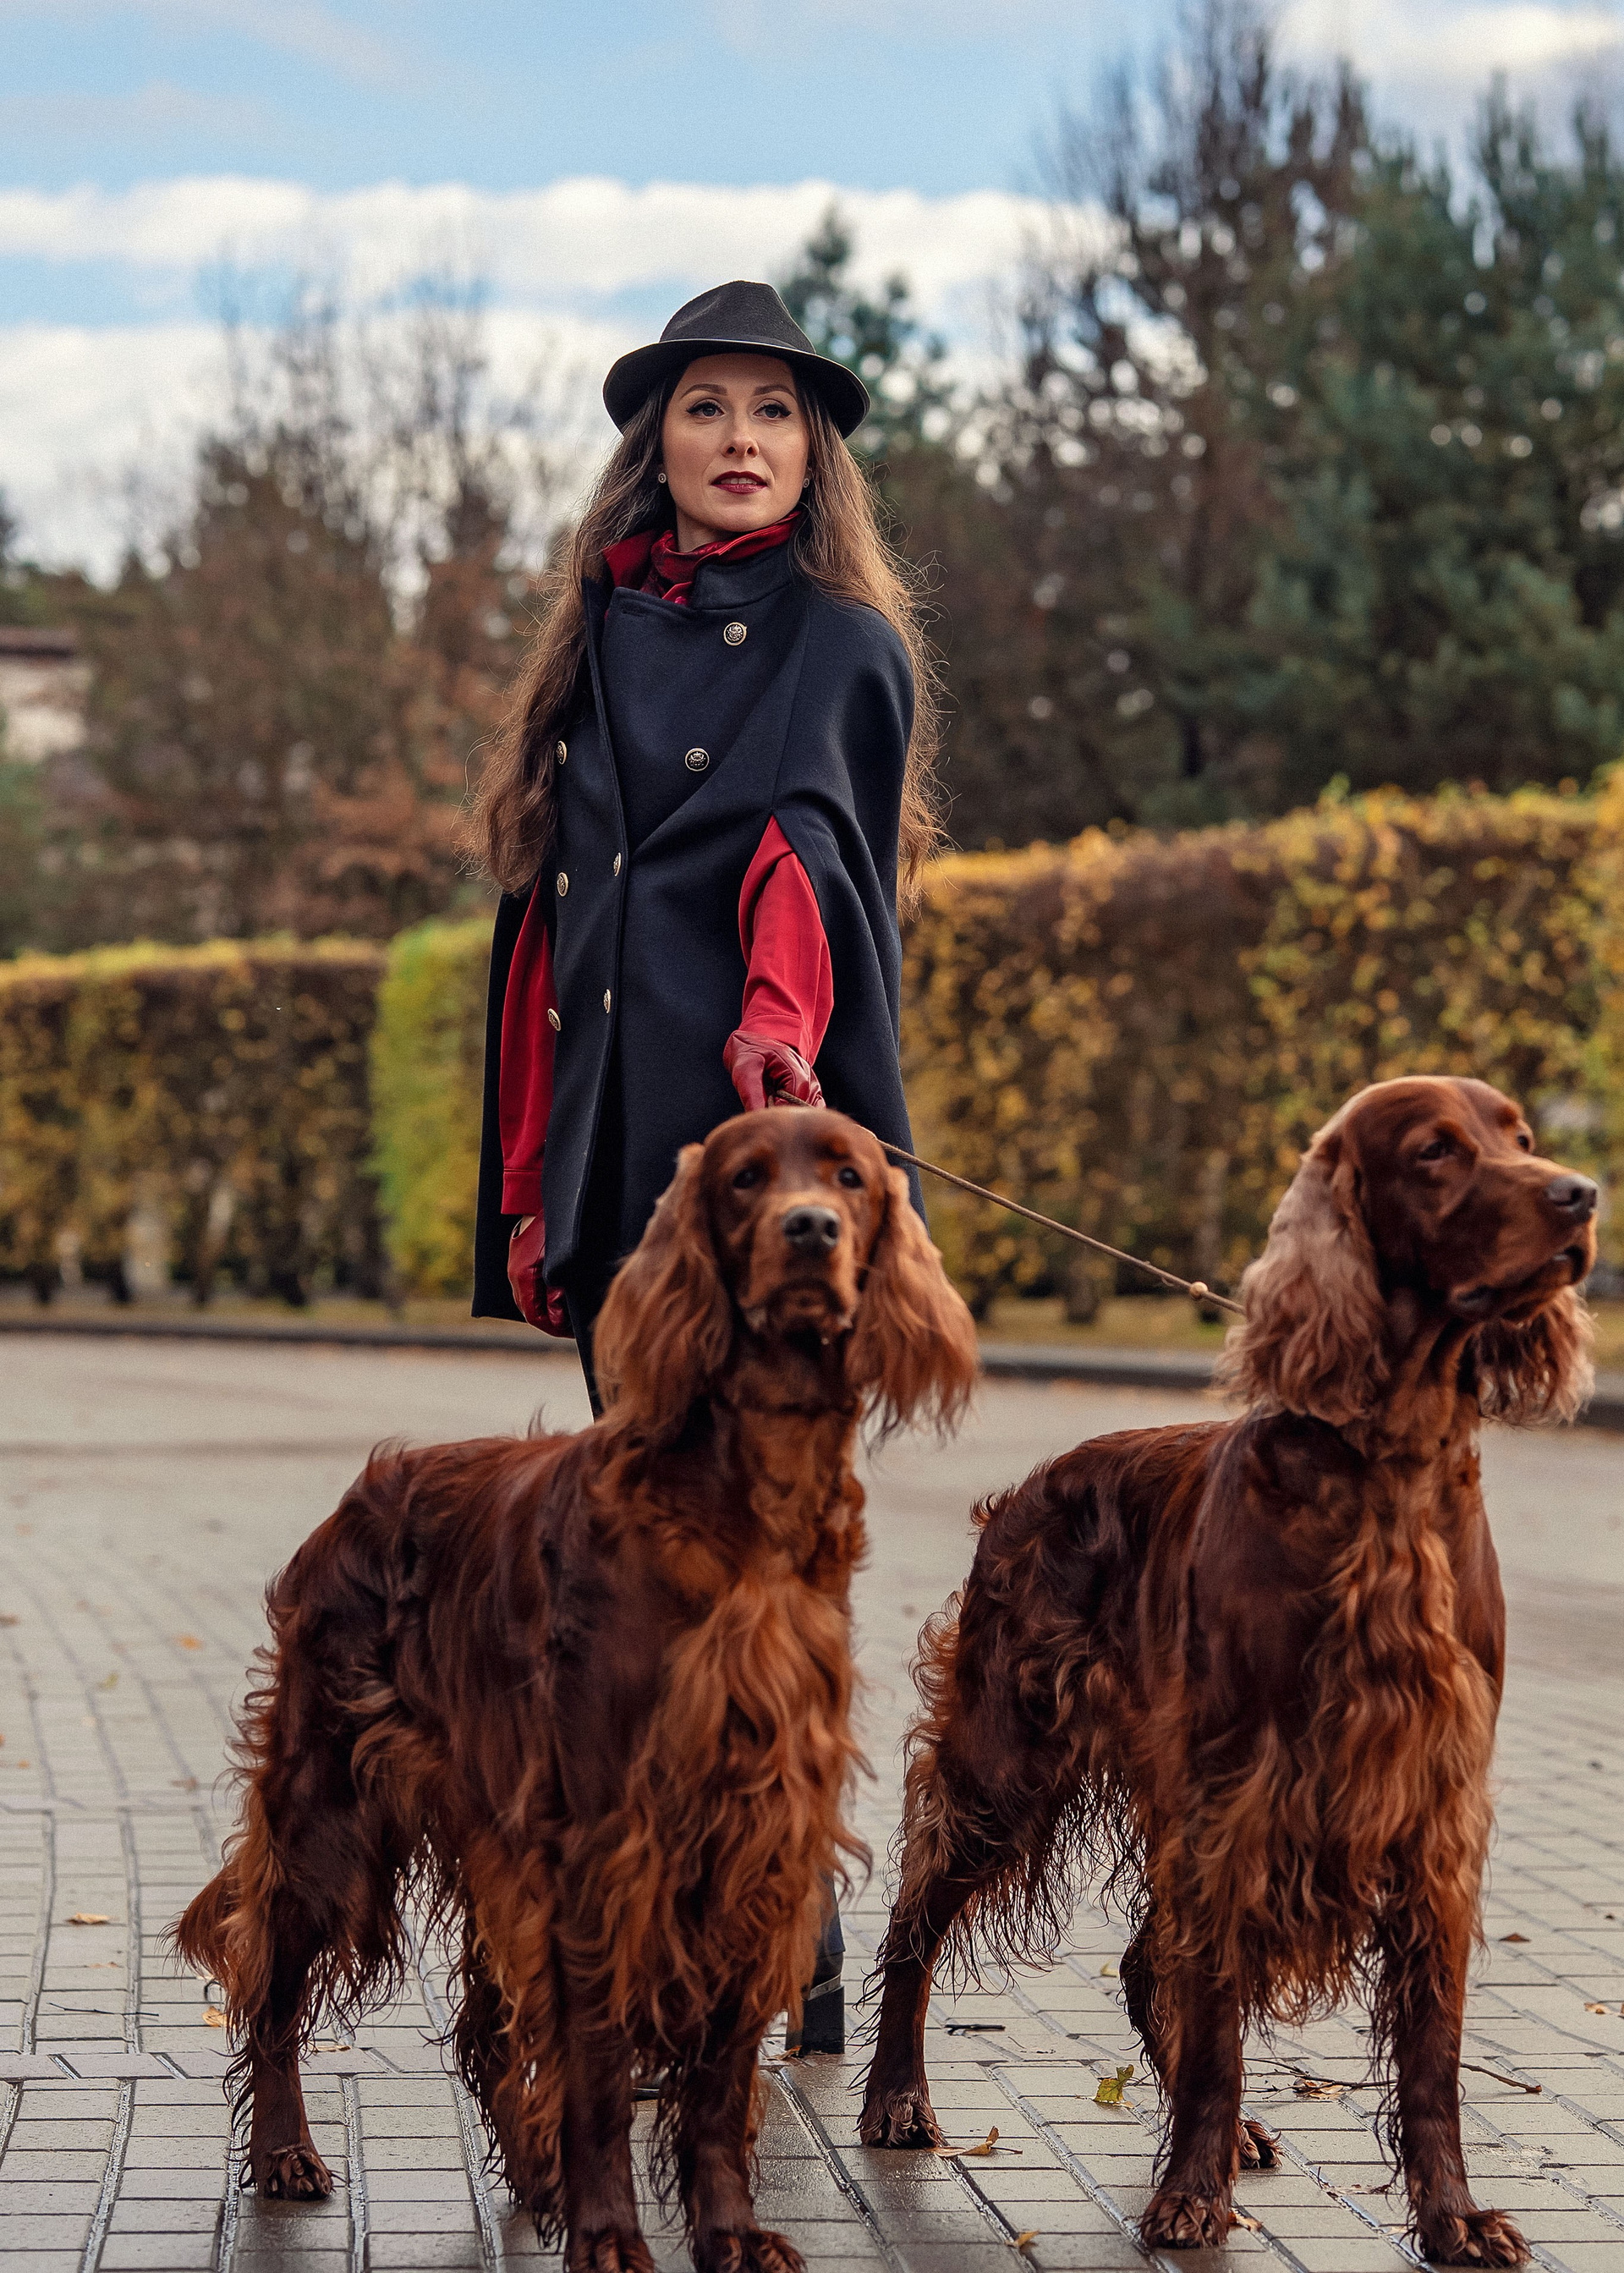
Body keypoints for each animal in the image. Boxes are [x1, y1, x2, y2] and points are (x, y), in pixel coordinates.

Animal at [175, 1107, 978, 2273]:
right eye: (746, 1178)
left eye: (849, 1176)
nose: (812, 1230)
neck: (748, 1507)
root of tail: (362, 1491)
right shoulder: (607, 1836)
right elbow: (599, 2062)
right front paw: (608, 2234)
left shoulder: (754, 1833)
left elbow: (719, 2076)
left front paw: (728, 2230)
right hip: (334, 1806)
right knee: (272, 1987)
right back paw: (288, 2154)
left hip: (490, 1835)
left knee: (487, 2023)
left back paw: (535, 2173)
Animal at [859, 1077, 1597, 2267]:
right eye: (1437, 1150)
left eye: (1522, 1137)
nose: (1580, 1195)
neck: (1387, 1475)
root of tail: (1028, 1487)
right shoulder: (1236, 1790)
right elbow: (1215, 2020)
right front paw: (1190, 2196)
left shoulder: (1433, 1808)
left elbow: (1432, 2051)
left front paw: (1451, 2217)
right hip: (1004, 1760)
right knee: (915, 1921)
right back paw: (895, 2096)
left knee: (1137, 1960)